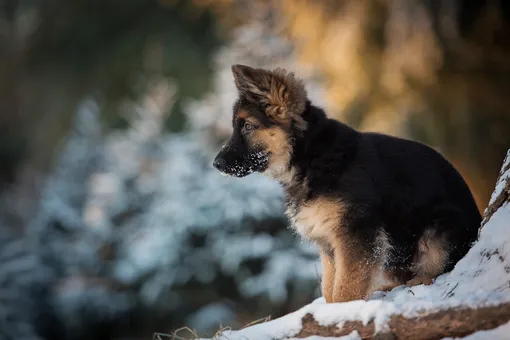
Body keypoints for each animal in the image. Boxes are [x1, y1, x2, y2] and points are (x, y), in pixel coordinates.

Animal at [212, 63, 482, 302]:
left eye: (248, 126)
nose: (216, 164)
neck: (311, 157)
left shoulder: (356, 235)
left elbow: (345, 290)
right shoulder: (329, 243)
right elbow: (329, 289)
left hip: (439, 226)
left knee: (439, 269)